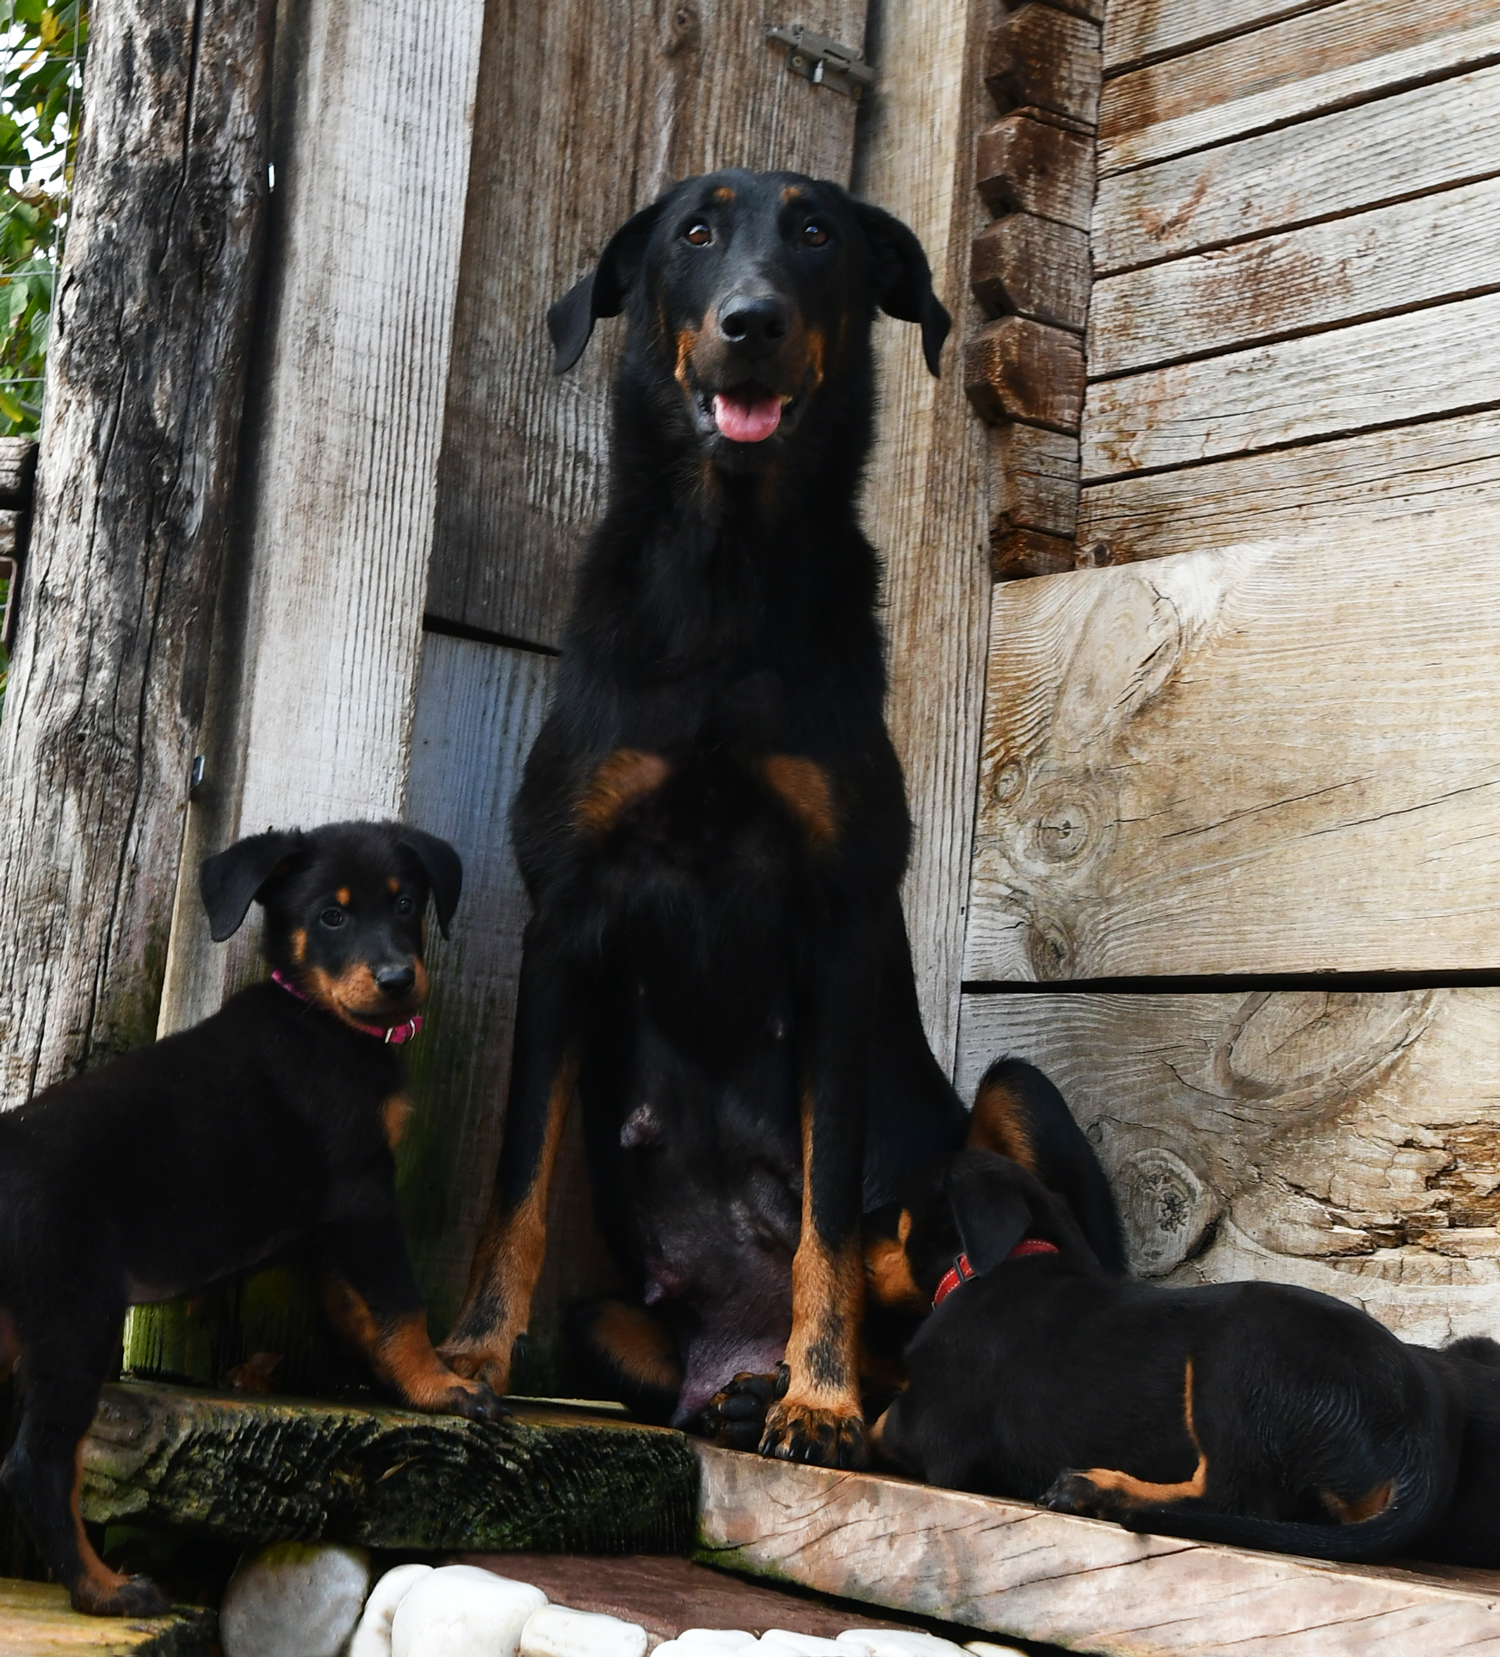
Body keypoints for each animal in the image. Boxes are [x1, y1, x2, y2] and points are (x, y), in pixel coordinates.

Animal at [0, 820, 504, 1615]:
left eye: (406, 904)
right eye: (331, 916)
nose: (398, 979)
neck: (324, 1021)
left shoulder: (334, 1219)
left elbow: (357, 1308)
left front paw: (393, 1383)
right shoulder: (364, 1193)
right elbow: (400, 1303)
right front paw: (440, 1389)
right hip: (74, 1314)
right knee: (37, 1464)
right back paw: (107, 1590)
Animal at [436, 167, 1117, 1468]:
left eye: (815, 234)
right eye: (694, 232)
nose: (751, 322)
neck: (728, 563)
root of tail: (719, 1351)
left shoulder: (835, 922)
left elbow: (827, 1212)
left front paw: (823, 1397)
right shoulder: (568, 910)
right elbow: (512, 1184)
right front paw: (467, 1360)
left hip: (1020, 1096)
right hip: (615, 1323)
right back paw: (746, 1396)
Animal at [868, 1149, 1486, 1565]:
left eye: (891, 1208)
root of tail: (1425, 1438)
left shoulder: (928, 1431)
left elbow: (879, 1425)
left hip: (1240, 1342)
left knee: (1234, 1498)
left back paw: (1100, 1489)